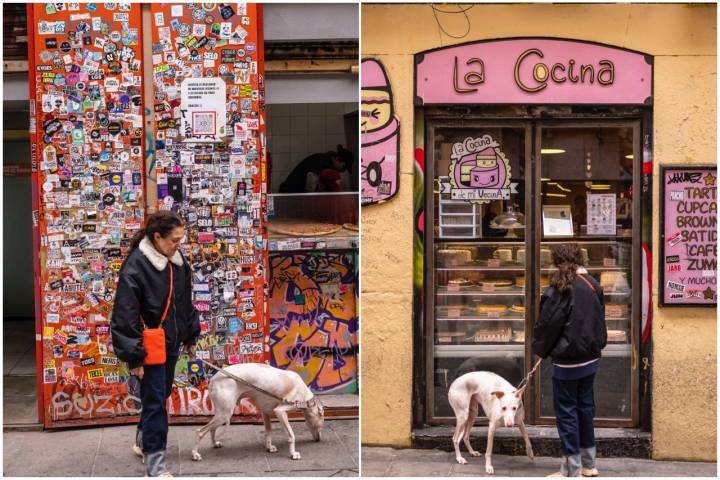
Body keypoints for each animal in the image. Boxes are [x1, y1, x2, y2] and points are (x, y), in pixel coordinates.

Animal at [193, 364, 324, 462]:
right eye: (320, 425)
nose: (319, 439)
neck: (306, 396)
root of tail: (213, 379)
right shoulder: (280, 411)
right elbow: (291, 435)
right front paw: (293, 453)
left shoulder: (265, 412)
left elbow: (268, 431)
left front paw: (269, 447)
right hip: (224, 414)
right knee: (200, 431)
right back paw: (195, 454)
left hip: (221, 413)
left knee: (212, 429)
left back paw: (215, 444)